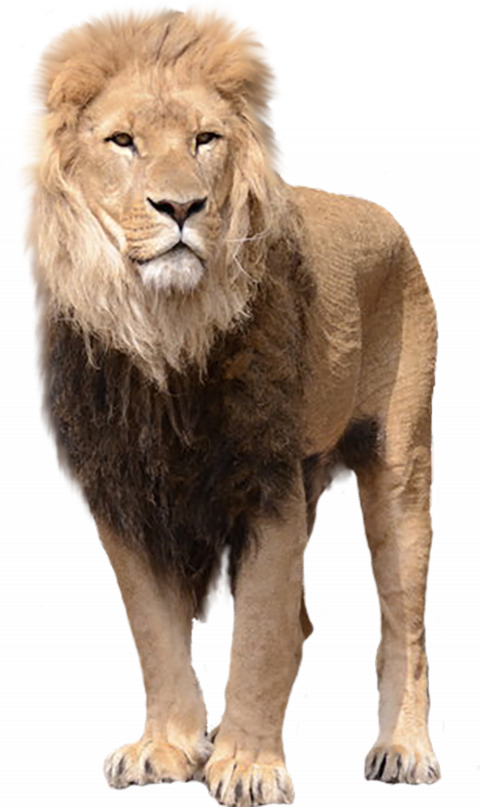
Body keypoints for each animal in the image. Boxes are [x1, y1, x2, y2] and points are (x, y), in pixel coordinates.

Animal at [16, 1, 442, 802]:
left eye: (204, 139)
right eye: (123, 142)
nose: (182, 206)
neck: (164, 335)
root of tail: (388, 218)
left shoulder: (266, 481)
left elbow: (259, 636)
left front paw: (247, 761)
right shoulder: (118, 491)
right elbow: (156, 632)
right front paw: (170, 745)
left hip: (398, 465)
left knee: (404, 619)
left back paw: (403, 749)